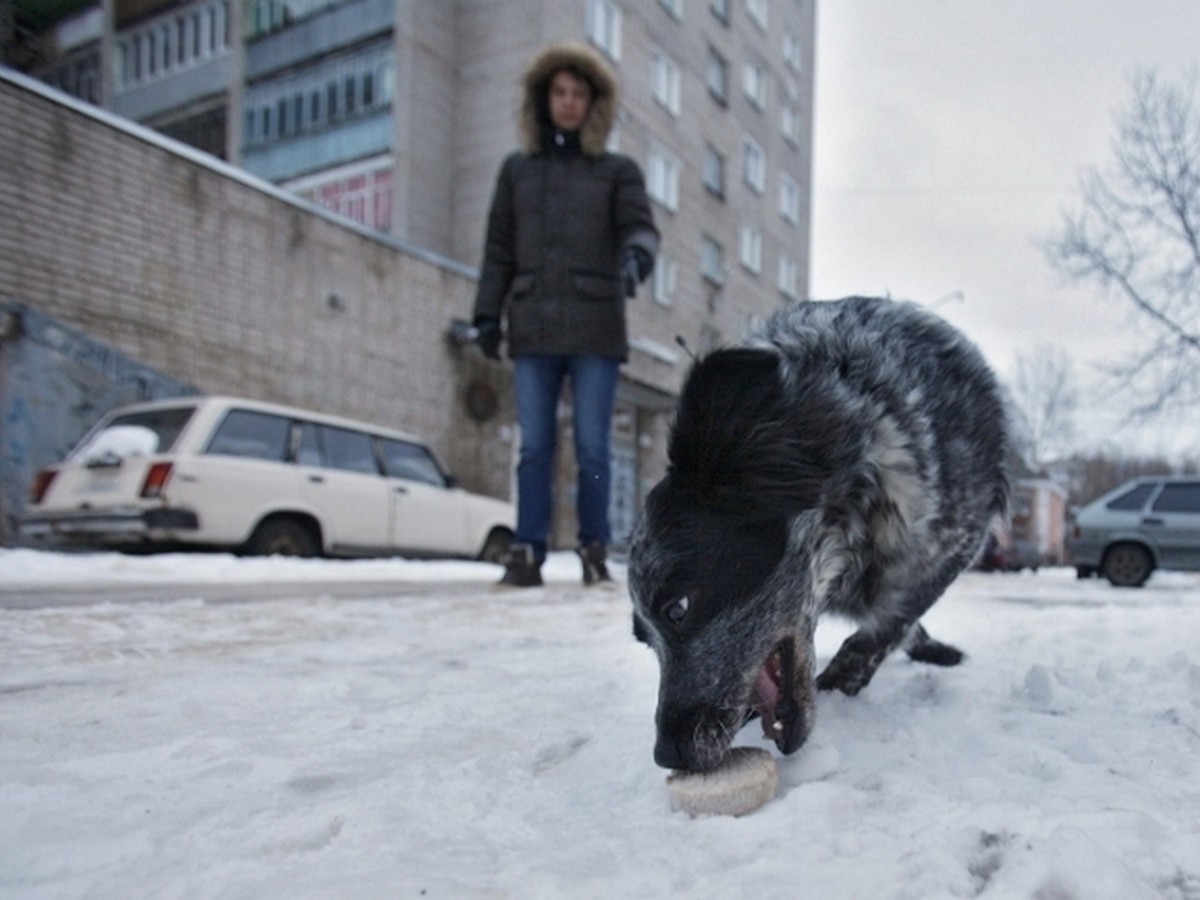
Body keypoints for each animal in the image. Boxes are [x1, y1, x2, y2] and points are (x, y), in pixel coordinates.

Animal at [633, 297, 1008, 777]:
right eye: (645, 639)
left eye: (677, 608)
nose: (667, 755)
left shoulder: (957, 541)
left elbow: (886, 626)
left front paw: (839, 686)